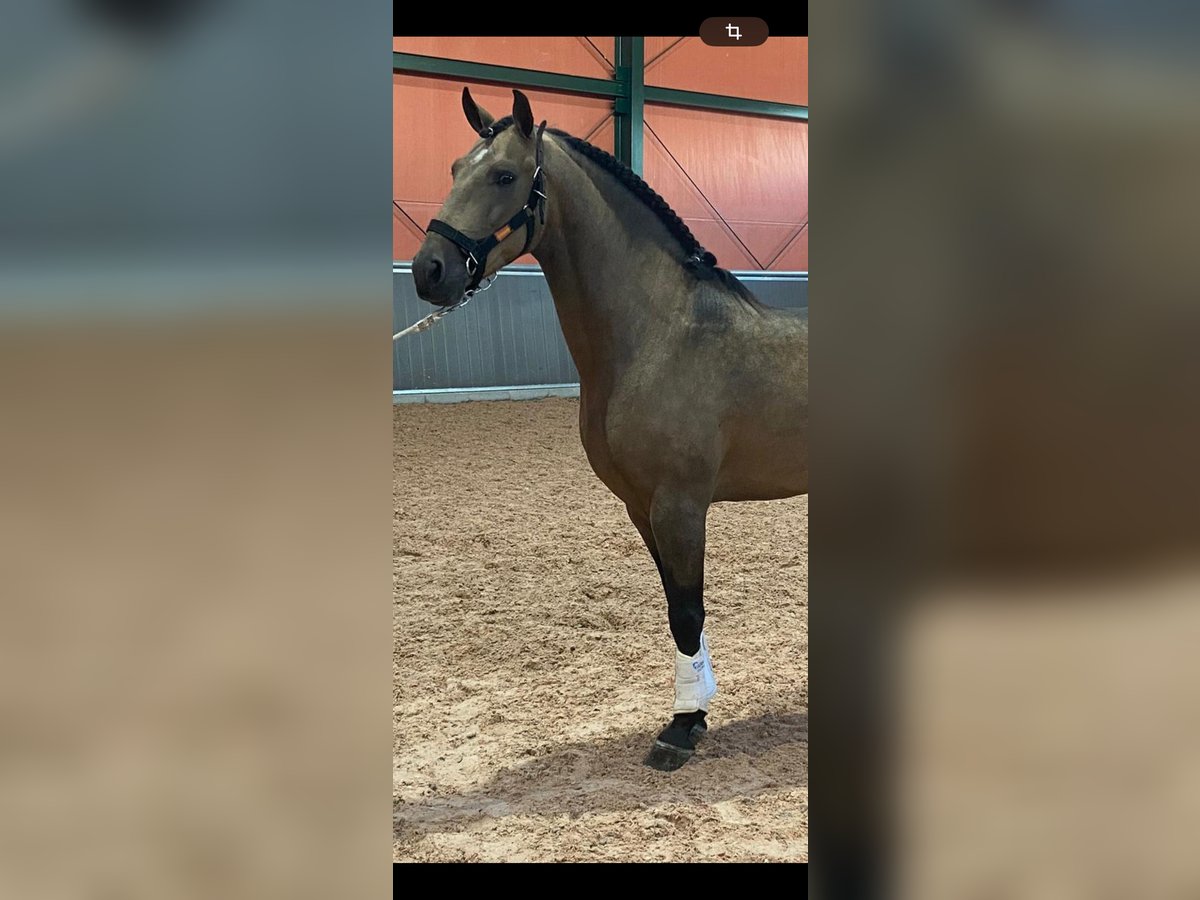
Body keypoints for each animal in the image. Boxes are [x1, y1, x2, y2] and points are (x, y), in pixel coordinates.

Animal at [408, 88, 811, 772]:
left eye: (505, 175)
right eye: (456, 167)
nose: (428, 270)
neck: (659, 335)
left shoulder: (680, 505)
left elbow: (688, 612)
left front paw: (682, 728)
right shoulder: (640, 506)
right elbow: (677, 611)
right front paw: (695, 709)